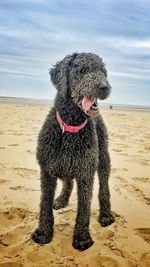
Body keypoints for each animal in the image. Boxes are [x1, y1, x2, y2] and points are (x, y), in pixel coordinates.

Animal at [31, 52, 114, 251]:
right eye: (82, 70)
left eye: (104, 72)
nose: (104, 87)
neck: (70, 128)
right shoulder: (47, 171)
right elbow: (44, 204)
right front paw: (43, 233)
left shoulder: (86, 174)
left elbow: (84, 209)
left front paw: (82, 238)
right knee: (68, 182)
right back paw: (62, 200)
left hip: (103, 160)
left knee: (104, 188)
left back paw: (106, 215)